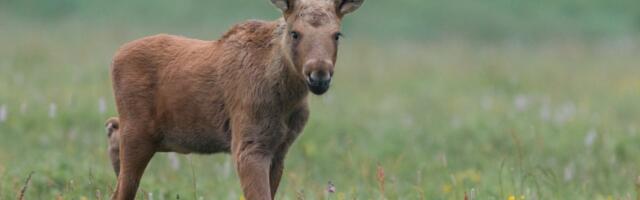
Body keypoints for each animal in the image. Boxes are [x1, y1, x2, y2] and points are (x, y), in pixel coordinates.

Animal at [107, 0, 362, 199]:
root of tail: (115, 57)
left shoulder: (280, 149)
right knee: (121, 188)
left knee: (114, 131)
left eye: (337, 34)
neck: (287, 98)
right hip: (138, 132)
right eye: (295, 33)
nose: (319, 75)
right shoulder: (249, 144)